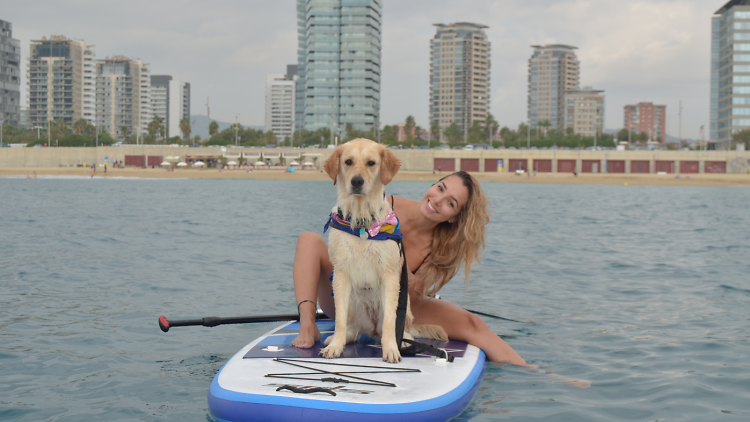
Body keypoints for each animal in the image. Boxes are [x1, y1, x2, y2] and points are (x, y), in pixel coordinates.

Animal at [322, 138, 450, 362]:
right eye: (348, 162)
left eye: (371, 163)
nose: (356, 181)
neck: (362, 221)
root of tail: (373, 329)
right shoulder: (341, 273)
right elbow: (339, 319)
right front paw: (335, 346)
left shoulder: (389, 275)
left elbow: (391, 321)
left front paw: (391, 349)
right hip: (354, 304)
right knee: (352, 328)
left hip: (404, 305)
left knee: (399, 330)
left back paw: (403, 342)